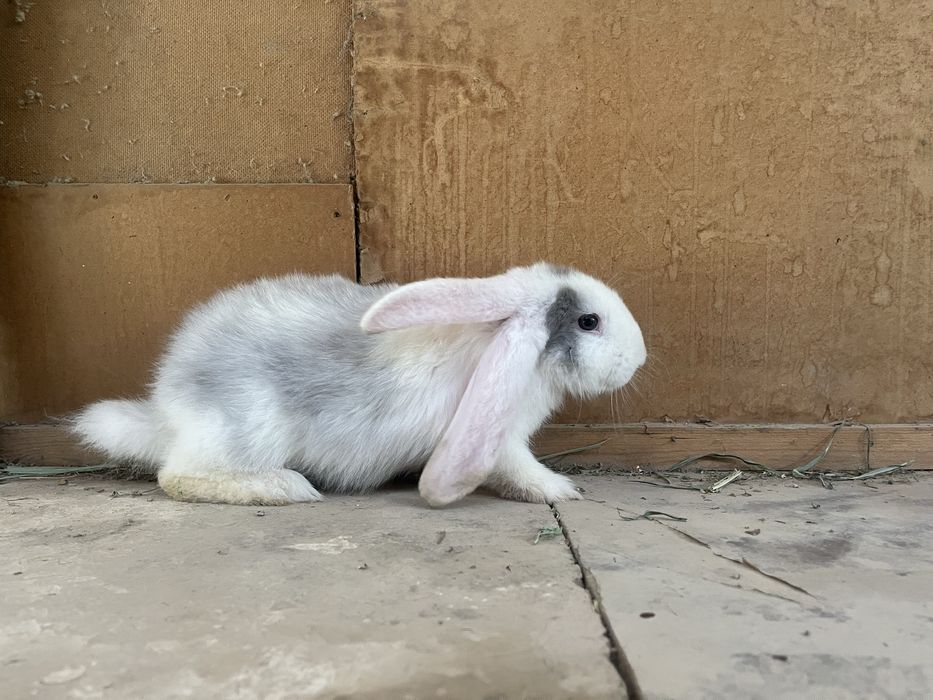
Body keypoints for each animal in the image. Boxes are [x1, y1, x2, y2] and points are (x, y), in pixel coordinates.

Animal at [70, 262, 646, 507]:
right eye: (589, 322)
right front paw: (562, 490)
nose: (639, 358)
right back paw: (287, 489)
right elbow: (521, 469)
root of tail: (168, 408)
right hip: (248, 428)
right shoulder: (498, 440)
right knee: (178, 476)